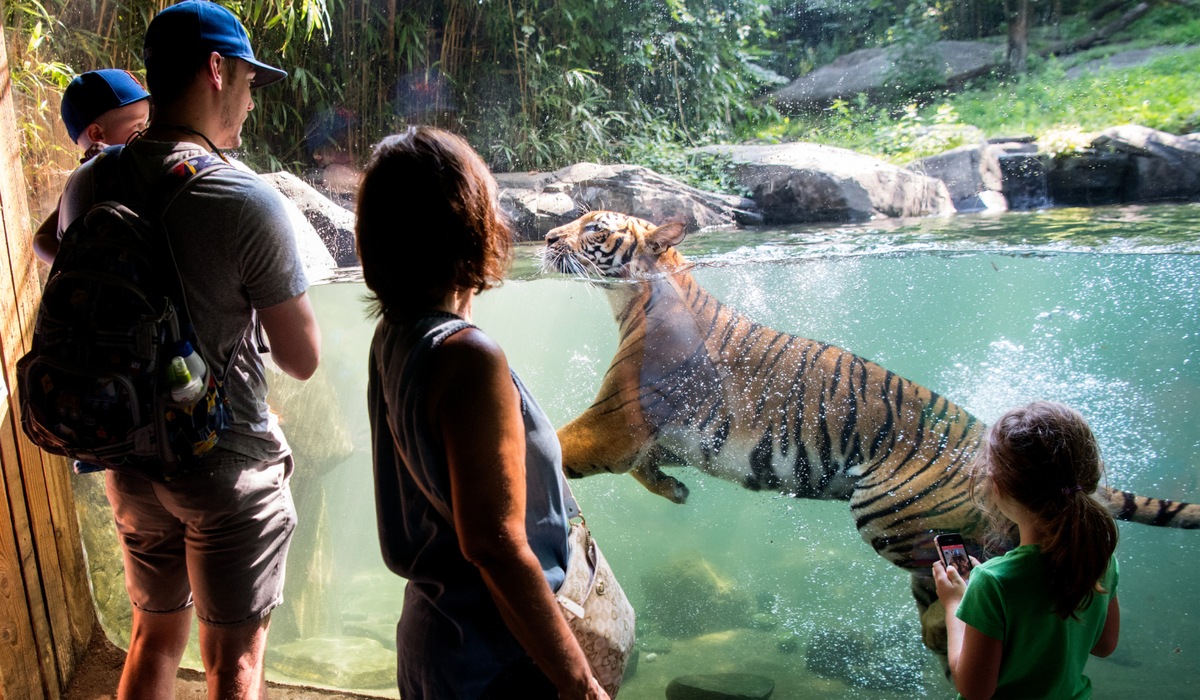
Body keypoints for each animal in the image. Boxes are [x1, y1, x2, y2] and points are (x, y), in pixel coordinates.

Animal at [542, 211, 1200, 657]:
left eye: (593, 227)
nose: (546, 240)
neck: (637, 299)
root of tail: (984, 435)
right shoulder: (647, 435)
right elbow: (641, 465)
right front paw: (676, 492)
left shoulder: (617, 419)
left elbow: (562, 440)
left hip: (889, 511)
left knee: (984, 564)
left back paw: (946, 629)